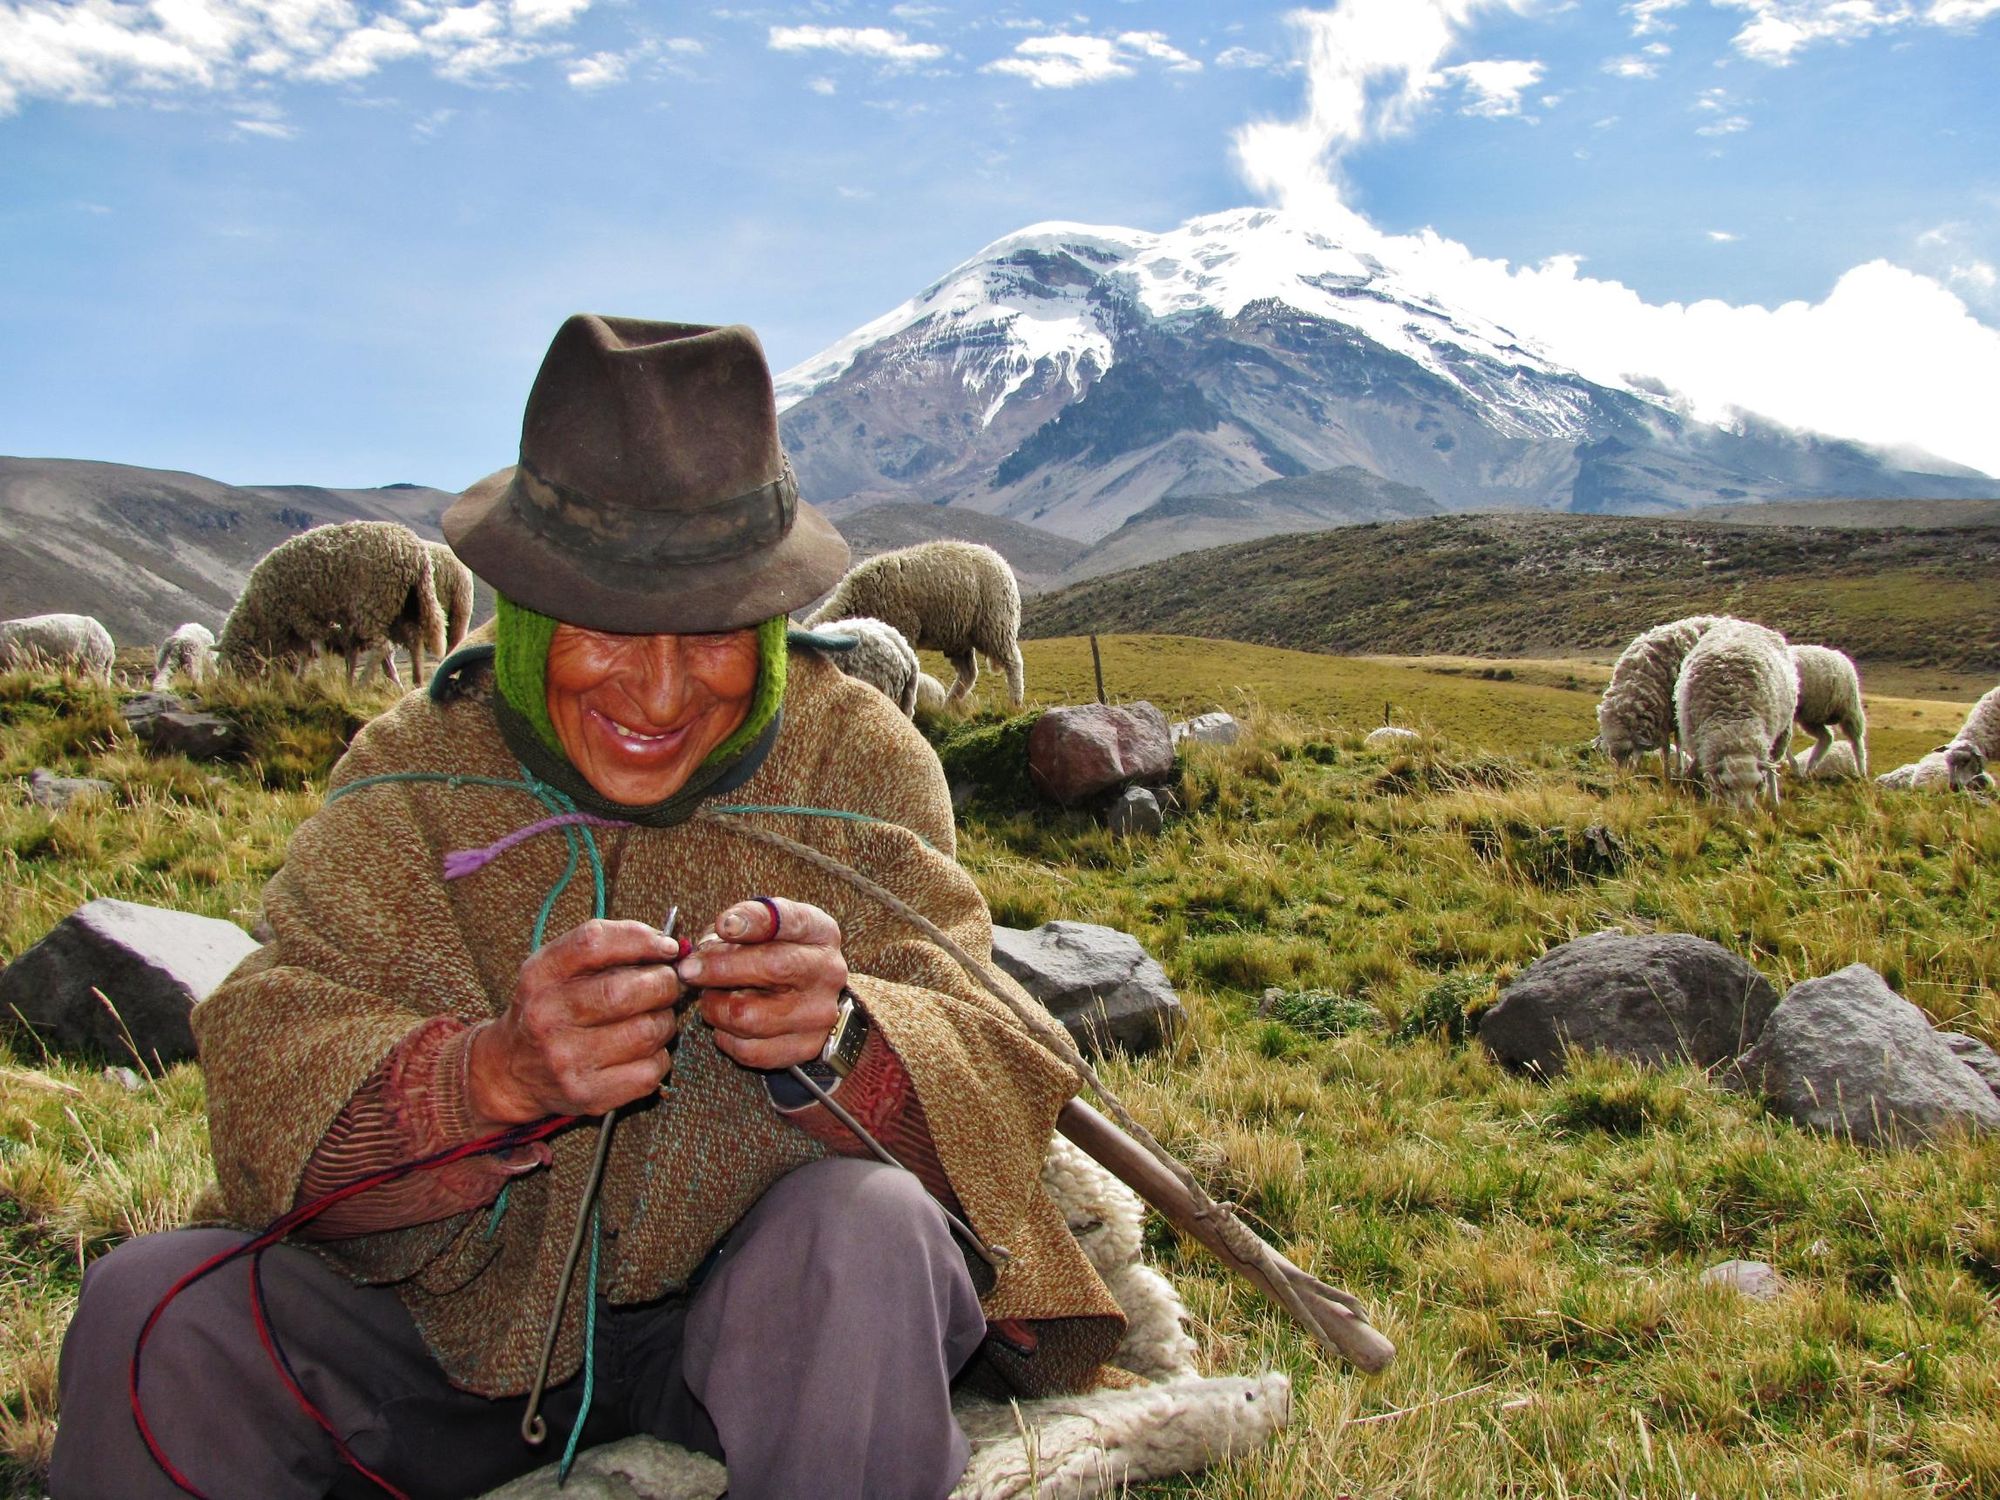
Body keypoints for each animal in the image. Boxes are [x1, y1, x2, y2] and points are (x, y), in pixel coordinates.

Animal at [223, 524, 450, 688]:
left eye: (230, 663)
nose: (233, 688)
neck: (259, 613)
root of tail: (417, 553)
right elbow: (309, 655)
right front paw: (302, 681)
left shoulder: (302, 615)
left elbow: (318, 650)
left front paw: (326, 677)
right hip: (404, 606)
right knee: (412, 642)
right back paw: (413, 681)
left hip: (374, 604)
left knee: (382, 648)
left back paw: (362, 685)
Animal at [804, 540, 1024, 712]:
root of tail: (997, 558)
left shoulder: (905, 628)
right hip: (958, 636)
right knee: (968, 673)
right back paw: (948, 704)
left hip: (995, 624)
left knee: (1013, 662)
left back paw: (1015, 702)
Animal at [1592, 612, 1720, 780]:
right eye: (1608, 754)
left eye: (1627, 751)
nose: (1622, 777)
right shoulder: (1662, 719)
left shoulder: (1672, 714)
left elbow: (1671, 745)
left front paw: (1672, 773)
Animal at [1672, 616, 1800, 812]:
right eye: (1726, 785)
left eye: (1757, 785)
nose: (1747, 814)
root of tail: (1740, 623)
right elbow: (1711, 783)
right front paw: (1714, 804)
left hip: (1782, 733)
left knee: (1772, 770)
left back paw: (1774, 800)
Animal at [1792, 644, 1864, 780]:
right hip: (1811, 717)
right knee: (1827, 738)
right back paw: (1809, 770)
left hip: (1849, 709)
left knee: (1856, 740)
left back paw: (1862, 772)